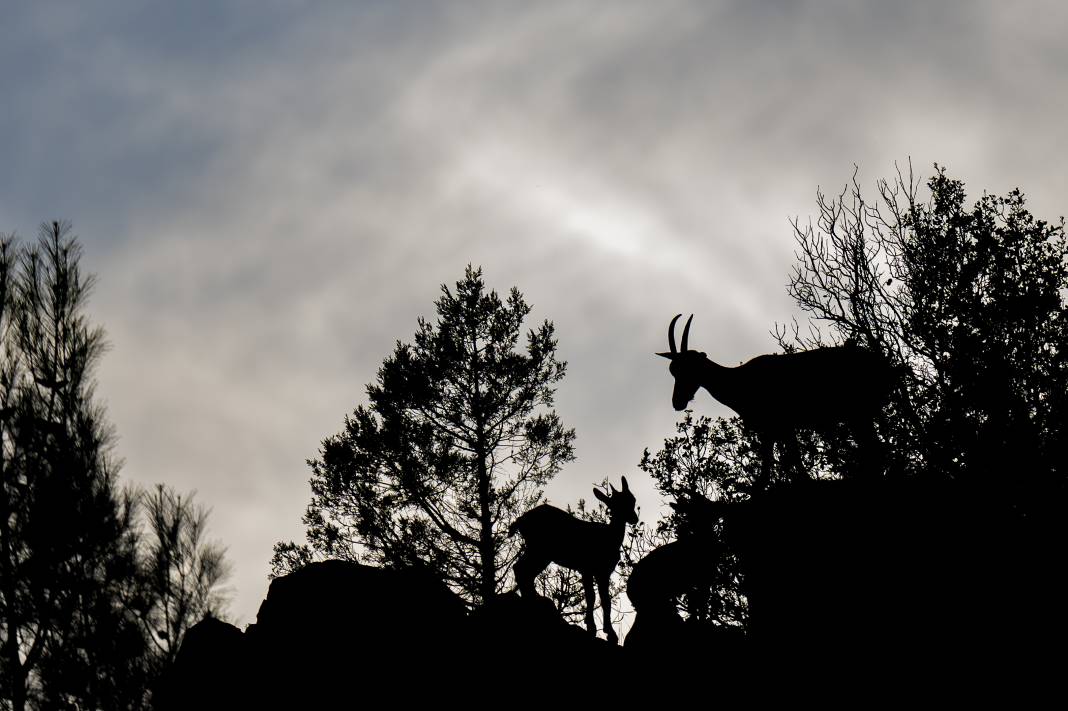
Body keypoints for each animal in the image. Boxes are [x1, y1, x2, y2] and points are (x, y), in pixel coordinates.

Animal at [510, 476, 636, 640]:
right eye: (616, 505)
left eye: (632, 500)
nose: (634, 518)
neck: (608, 537)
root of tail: (520, 520)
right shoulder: (588, 568)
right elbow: (592, 597)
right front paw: (594, 628)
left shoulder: (603, 572)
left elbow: (605, 599)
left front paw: (607, 632)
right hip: (539, 549)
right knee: (521, 568)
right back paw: (533, 601)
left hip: (540, 552)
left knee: (523, 570)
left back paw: (534, 599)